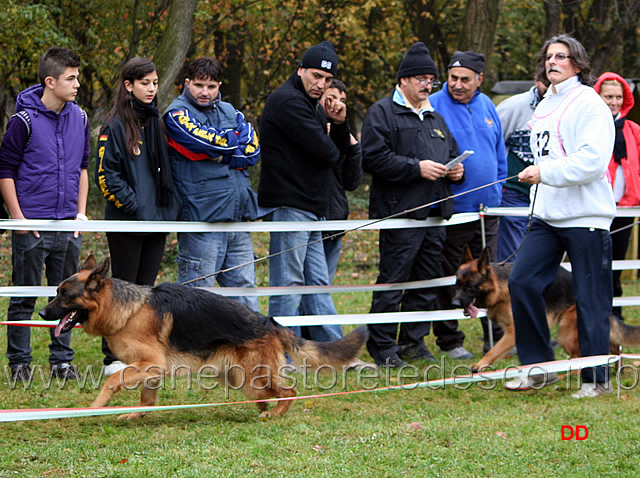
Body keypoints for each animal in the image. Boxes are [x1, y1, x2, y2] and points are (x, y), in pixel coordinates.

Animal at [40, 256, 368, 420]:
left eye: (64, 295)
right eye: (56, 292)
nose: (42, 312)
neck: (127, 309)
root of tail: (269, 322)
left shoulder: (150, 363)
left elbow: (112, 380)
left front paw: (95, 407)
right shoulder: (151, 369)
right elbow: (147, 398)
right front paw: (135, 417)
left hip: (252, 378)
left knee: (290, 391)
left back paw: (273, 414)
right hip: (241, 380)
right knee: (272, 394)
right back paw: (264, 409)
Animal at [450, 245, 640, 372]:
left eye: (471, 287)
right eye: (457, 285)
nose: (454, 303)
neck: (499, 287)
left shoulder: (514, 331)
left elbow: (494, 350)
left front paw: (480, 364)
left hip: (566, 334)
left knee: (583, 356)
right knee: (611, 346)